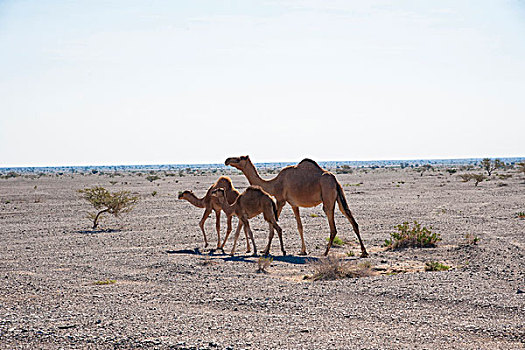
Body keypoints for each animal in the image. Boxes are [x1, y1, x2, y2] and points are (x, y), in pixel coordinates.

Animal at [225, 156, 368, 258]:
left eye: (239, 158)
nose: (227, 160)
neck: (274, 184)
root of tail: (334, 180)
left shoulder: (280, 201)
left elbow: (273, 226)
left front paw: (266, 251)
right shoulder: (294, 204)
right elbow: (299, 226)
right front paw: (303, 251)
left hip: (328, 196)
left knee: (333, 227)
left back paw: (325, 252)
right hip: (338, 195)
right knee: (351, 218)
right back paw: (364, 252)